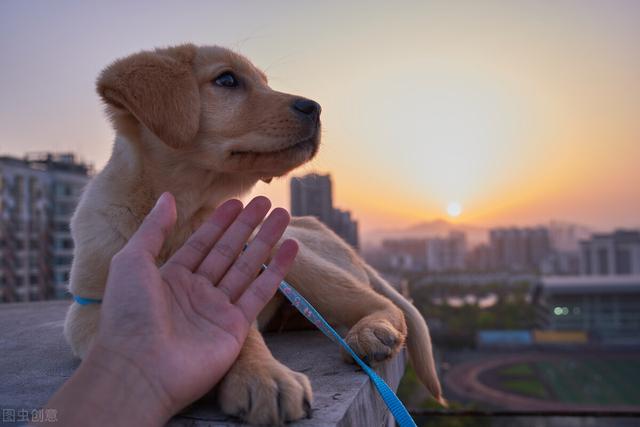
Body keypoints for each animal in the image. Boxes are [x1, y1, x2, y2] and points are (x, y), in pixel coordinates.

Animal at [65, 43, 444, 424]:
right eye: (227, 80)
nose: (316, 108)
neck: (184, 214)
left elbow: (243, 332)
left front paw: (263, 375)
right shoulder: (88, 307)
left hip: (288, 250)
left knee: (382, 303)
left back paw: (371, 332)